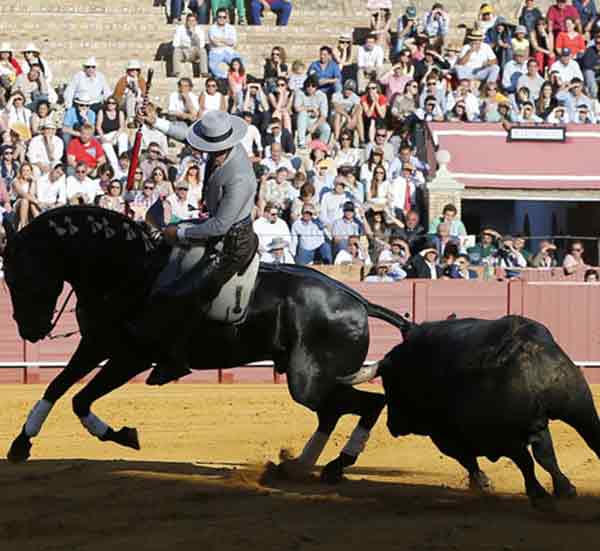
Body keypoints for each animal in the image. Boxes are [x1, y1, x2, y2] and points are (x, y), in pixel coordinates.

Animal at [0, 208, 410, 484]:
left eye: (21, 275)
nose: (30, 331)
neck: (130, 270)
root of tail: (358, 301)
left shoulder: (131, 357)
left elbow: (79, 398)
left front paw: (123, 435)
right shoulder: (96, 344)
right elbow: (58, 387)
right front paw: (20, 445)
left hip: (308, 380)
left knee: (368, 404)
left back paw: (334, 465)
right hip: (312, 379)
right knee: (334, 412)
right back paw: (299, 466)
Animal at [378, 314, 600, 508]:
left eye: (390, 385)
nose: (392, 425)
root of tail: (524, 347)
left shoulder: (446, 436)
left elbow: (470, 458)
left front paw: (484, 483)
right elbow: (540, 457)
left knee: (529, 458)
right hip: (578, 406)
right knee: (583, 439)